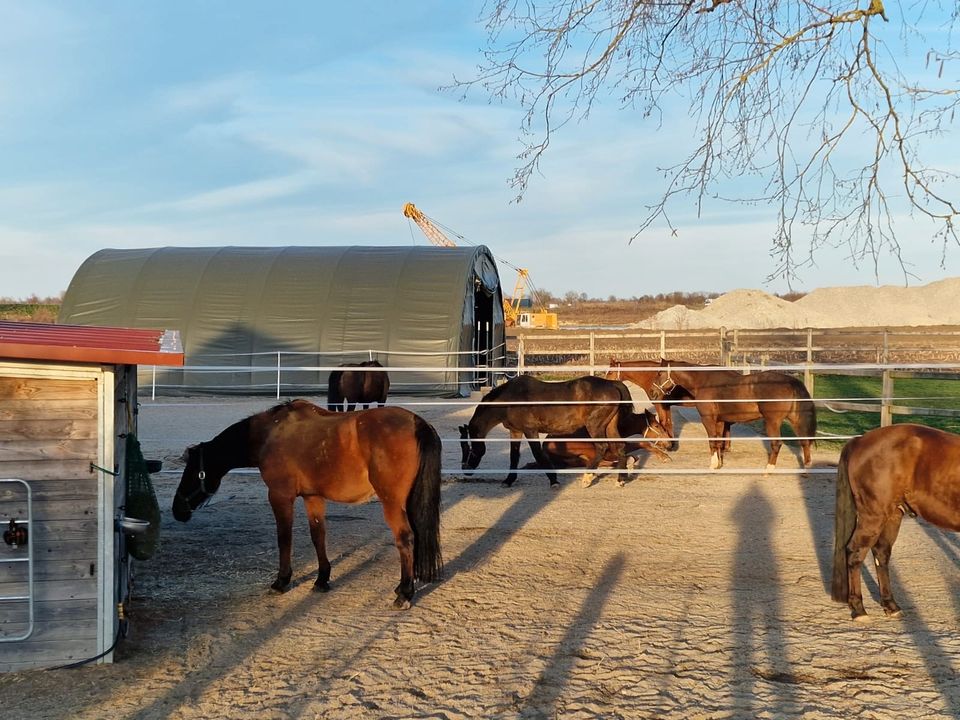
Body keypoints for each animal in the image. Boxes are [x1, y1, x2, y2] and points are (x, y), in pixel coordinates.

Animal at [172, 400, 442, 608]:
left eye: (194, 472)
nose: (178, 510)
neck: (271, 435)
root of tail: (417, 423)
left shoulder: (280, 496)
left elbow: (284, 538)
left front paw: (281, 581)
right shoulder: (313, 497)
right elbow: (317, 535)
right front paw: (322, 579)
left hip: (391, 503)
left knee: (405, 539)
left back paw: (404, 593)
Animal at [460, 374, 632, 486]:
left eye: (468, 447)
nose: (466, 469)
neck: (510, 400)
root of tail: (612, 384)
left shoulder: (530, 430)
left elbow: (538, 454)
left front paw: (554, 480)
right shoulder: (515, 431)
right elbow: (514, 456)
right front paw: (508, 480)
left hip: (595, 426)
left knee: (602, 447)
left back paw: (587, 478)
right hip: (609, 426)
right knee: (620, 447)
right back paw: (621, 480)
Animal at [648, 360, 812, 472]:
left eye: (659, 373)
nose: (652, 392)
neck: (704, 382)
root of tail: (790, 382)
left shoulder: (708, 419)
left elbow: (712, 441)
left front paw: (713, 465)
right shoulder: (720, 421)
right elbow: (719, 442)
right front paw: (719, 464)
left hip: (773, 422)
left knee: (777, 444)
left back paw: (768, 470)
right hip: (795, 420)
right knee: (805, 441)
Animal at [828, 424, 960, 620]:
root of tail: (859, 440)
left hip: (893, 516)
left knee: (881, 554)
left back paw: (890, 605)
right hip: (873, 516)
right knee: (855, 553)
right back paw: (859, 609)